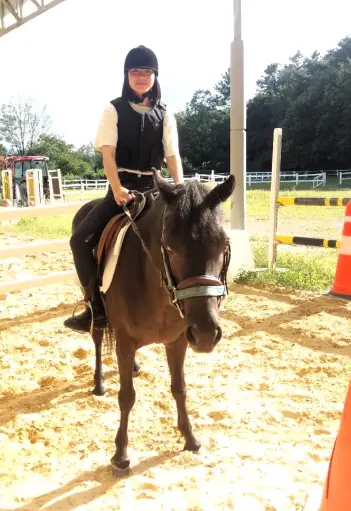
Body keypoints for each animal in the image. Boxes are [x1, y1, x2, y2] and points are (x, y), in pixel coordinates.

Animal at [71, 172, 236, 472]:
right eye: (169, 246)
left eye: (224, 244)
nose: (206, 334)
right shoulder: (125, 341)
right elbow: (126, 396)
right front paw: (121, 454)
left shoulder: (178, 341)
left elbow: (180, 389)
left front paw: (190, 438)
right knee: (98, 337)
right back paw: (99, 384)